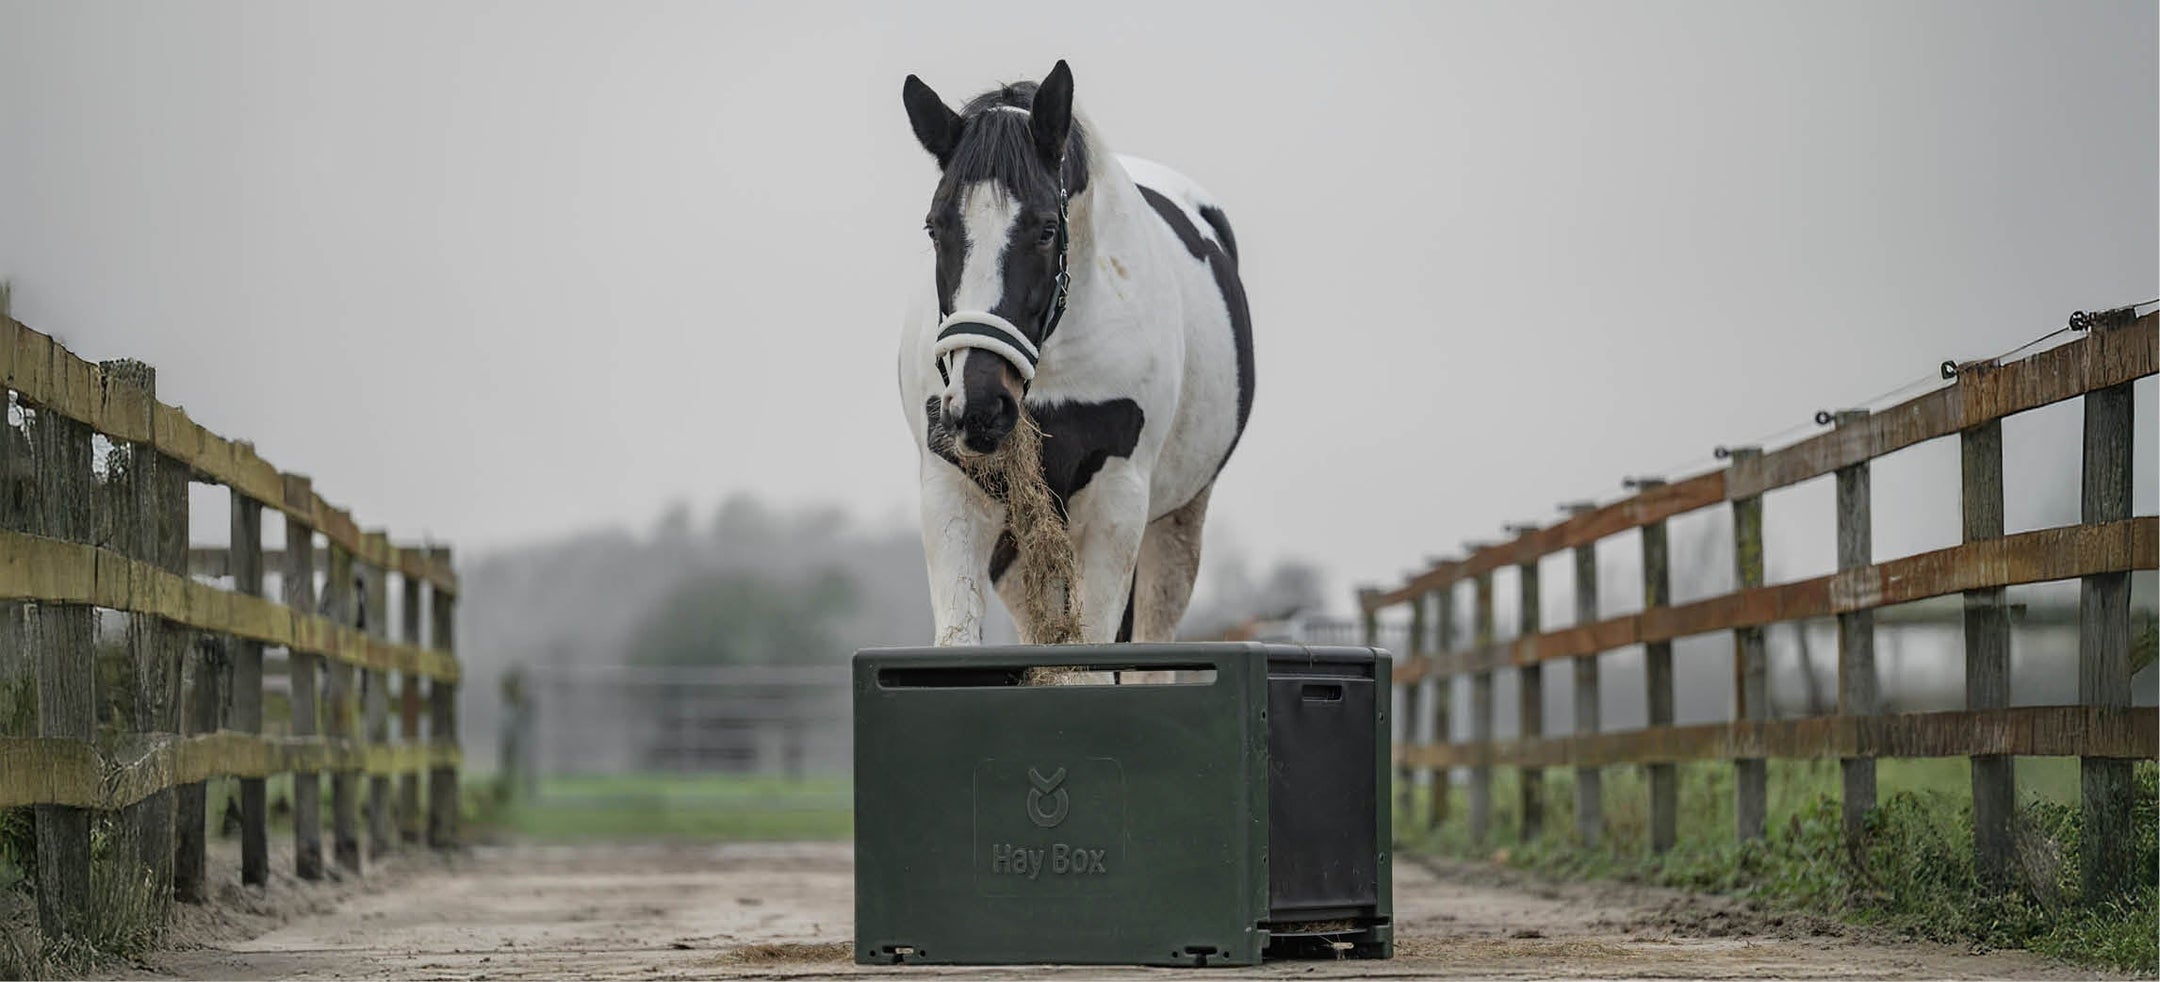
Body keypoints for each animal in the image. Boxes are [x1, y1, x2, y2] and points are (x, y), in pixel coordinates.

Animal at [895, 60, 1254, 646]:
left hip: (1176, 523)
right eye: (935, 227)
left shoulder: (1116, 504)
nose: (980, 406)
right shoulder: (953, 491)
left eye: (1046, 229)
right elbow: (960, 640)